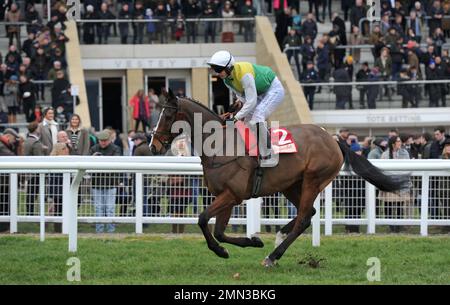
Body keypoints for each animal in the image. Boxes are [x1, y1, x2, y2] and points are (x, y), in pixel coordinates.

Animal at [150, 91, 404, 266]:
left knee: (304, 218)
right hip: (290, 185)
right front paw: (252, 241)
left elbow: (203, 220)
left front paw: (222, 250)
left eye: (168, 114)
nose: (153, 146)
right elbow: (220, 231)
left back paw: (273, 256)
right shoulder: (227, 196)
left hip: (313, 179)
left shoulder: (232, 195)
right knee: (307, 214)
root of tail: (333, 139)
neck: (220, 145)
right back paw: (279, 235)